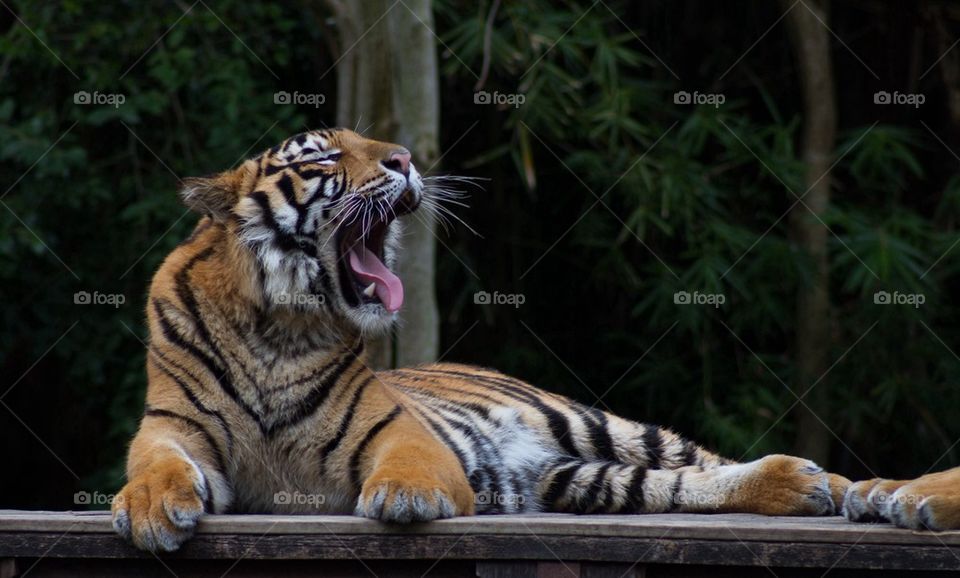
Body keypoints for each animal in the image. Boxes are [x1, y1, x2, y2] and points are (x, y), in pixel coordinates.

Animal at [111, 128, 851, 552]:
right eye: (324, 153)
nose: (405, 159)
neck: (279, 325)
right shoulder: (173, 425)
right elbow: (153, 464)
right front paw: (148, 509)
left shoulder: (392, 427)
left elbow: (408, 458)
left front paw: (406, 497)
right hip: (577, 479)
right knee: (673, 485)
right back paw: (799, 488)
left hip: (592, 424)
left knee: (698, 457)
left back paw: (838, 487)